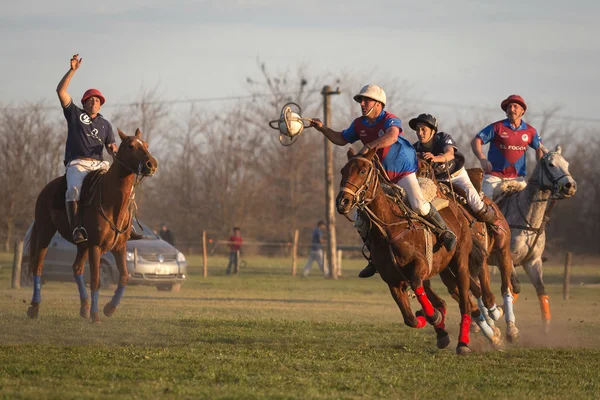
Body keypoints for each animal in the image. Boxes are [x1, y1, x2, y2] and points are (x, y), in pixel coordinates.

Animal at [25, 128, 157, 322]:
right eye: (131, 146)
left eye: (146, 145)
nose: (151, 164)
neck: (112, 203)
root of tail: (46, 189)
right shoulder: (96, 246)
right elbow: (95, 279)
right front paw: (96, 316)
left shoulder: (119, 247)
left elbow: (124, 276)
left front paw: (109, 308)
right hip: (45, 232)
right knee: (38, 266)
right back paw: (35, 307)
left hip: (82, 245)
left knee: (77, 268)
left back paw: (84, 307)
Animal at [338, 147, 488, 354]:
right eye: (343, 171)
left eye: (362, 171)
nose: (342, 202)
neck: (389, 229)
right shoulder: (392, 280)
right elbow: (410, 319)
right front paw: (431, 320)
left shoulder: (420, 265)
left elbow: (417, 286)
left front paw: (434, 317)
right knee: (445, 301)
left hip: (460, 262)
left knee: (465, 303)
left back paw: (463, 343)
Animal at [492, 145, 576, 332]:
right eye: (551, 164)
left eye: (567, 163)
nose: (570, 186)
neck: (529, 222)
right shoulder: (508, 258)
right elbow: (514, 287)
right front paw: (506, 322)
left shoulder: (533, 261)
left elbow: (540, 290)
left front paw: (546, 329)